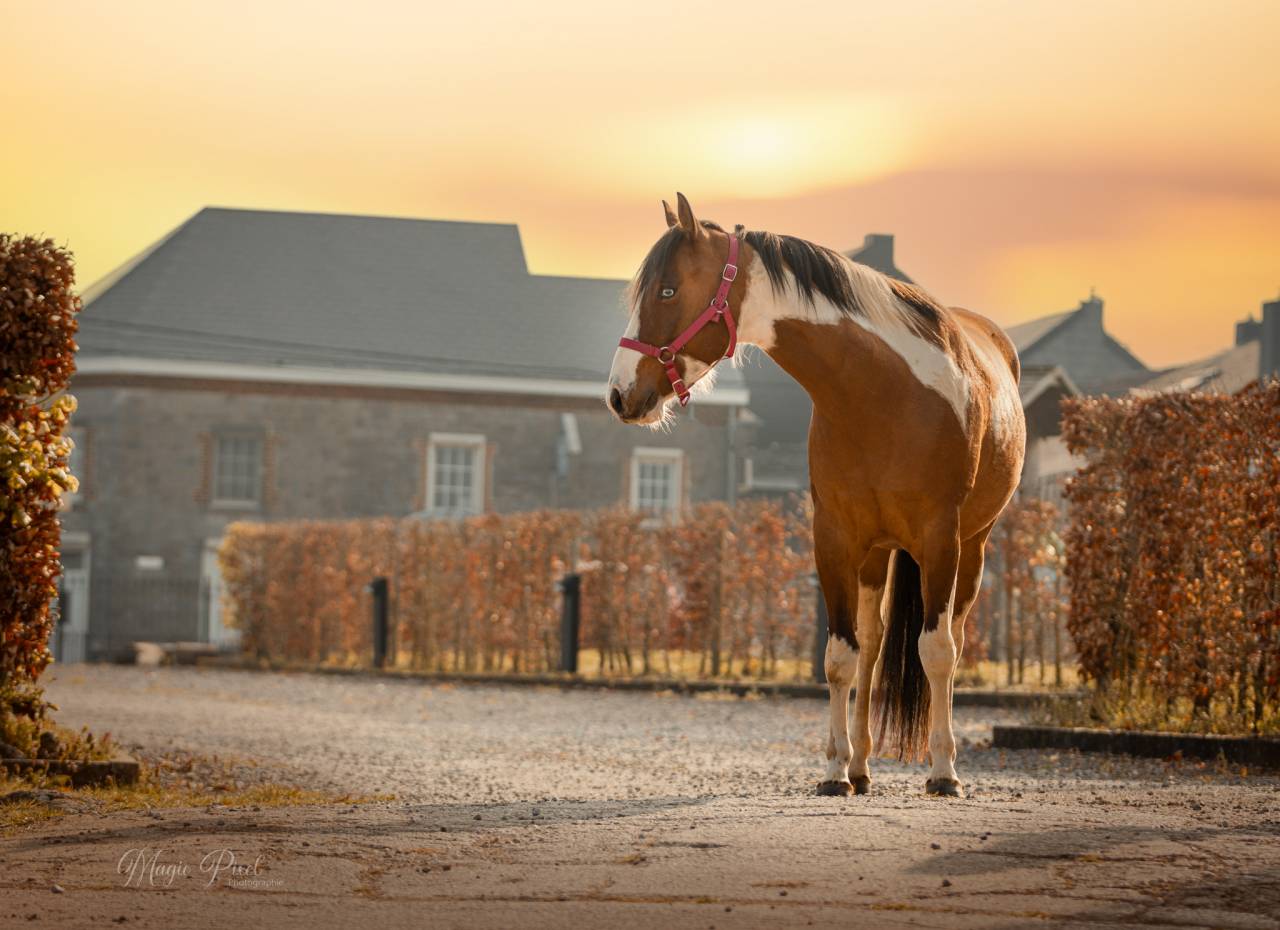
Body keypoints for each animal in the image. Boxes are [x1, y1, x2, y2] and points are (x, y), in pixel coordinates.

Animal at [606, 194, 1025, 798]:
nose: (620, 394)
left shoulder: (941, 538)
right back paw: (863, 764)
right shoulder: (833, 537)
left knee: (953, 640)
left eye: (667, 290)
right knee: (873, 644)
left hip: (973, 546)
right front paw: (835, 769)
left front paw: (944, 771)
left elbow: (936, 650)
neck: (882, 391)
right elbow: (840, 656)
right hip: (877, 554)